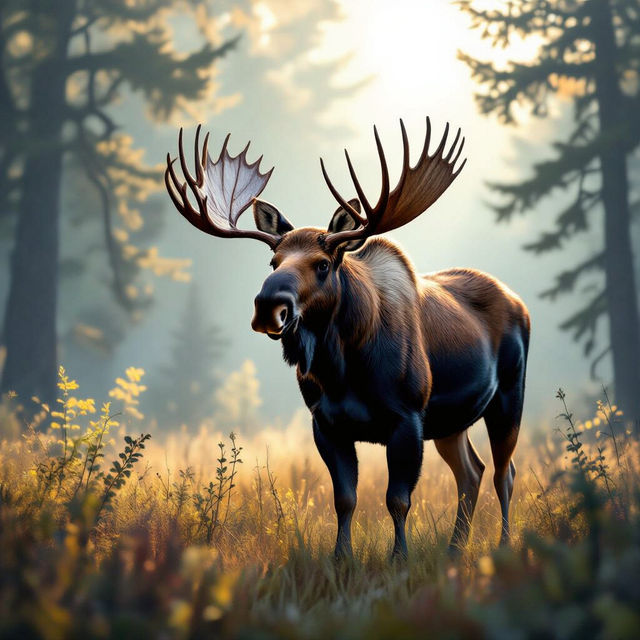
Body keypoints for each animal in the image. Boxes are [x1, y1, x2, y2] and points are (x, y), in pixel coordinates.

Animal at [165, 118, 530, 559]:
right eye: (273, 261)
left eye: (323, 264)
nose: (269, 306)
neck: (344, 369)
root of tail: (519, 301)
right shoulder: (326, 422)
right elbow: (345, 499)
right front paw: (341, 560)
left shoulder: (408, 416)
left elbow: (398, 499)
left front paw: (398, 558)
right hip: (450, 421)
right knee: (471, 471)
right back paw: (455, 550)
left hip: (508, 395)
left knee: (503, 472)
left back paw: (504, 545)